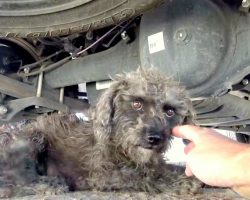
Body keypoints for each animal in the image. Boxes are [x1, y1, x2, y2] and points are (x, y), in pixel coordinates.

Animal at [0, 67, 201, 197]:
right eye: (137, 104)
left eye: (170, 112)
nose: (155, 138)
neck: (121, 147)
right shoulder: (102, 175)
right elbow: (141, 177)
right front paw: (179, 182)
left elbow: (162, 168)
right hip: (33, 137)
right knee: (13, 179)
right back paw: (49, 183)